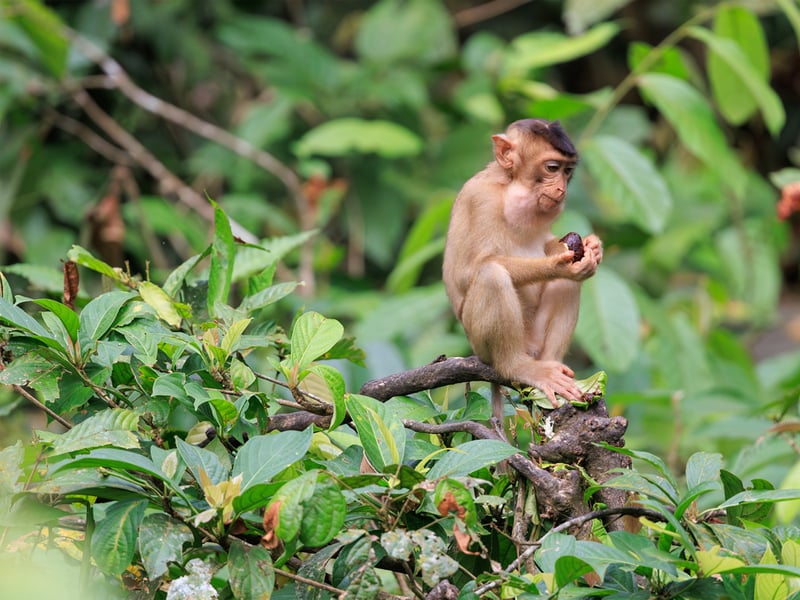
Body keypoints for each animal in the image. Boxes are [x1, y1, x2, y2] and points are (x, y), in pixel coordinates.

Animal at [442, 119, 602, 421]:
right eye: (552, 168)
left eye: (567, 171)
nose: (562, 188)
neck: (509, 186)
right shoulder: (479, 199)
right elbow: (471, 270)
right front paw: (557, 266)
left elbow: (548, 243)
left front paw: (592, 247)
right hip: (480, 343)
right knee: (491, 276)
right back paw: (517, 367)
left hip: (535, 341)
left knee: (566, 287)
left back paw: (554, 368)